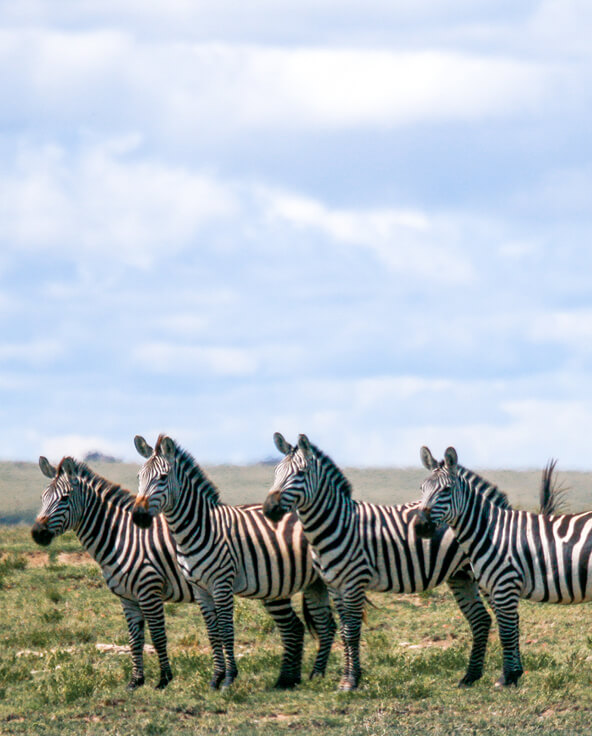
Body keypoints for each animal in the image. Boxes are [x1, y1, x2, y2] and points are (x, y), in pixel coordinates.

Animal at [31, 456, 204, 690]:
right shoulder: (127, 597)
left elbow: (158, 636)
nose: (37, 533)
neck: (121, 536)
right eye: (43, 497)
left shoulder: (149, 591)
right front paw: (136, 681)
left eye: (65, 498)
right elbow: (135, 639)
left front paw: (164, 679)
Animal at [131, 434, 337, 690]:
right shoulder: (200, 589)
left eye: (162, 477)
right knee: (314, 625)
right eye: (139, 477)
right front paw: (216, 678)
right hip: (306, 584)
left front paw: (229, 678)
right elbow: (213, 633)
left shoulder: (222, 584)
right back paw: (292, 679)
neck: (200, 528)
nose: (138, 516)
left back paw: (317, 676)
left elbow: (226, 631)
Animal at [263, 432, 502, 691]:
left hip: (483, 572)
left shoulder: (354, 582)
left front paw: (350, 680)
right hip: (460, 575)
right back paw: (470, 677)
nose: (269, 509)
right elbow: (345, 631)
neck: (337, 523)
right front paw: (348, 678)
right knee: (480, 619)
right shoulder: (334, 585)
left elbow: (352, 631)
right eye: (275, 472)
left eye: (301, 473)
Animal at [417, 445, 586, 687]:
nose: (421, 526)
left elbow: (506, 631)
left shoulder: (505, 583)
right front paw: (513, 675)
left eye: (447, 489)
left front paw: (507, 678)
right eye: (422, 488)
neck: (492, 530)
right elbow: (509, 626)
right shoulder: (496, 585)